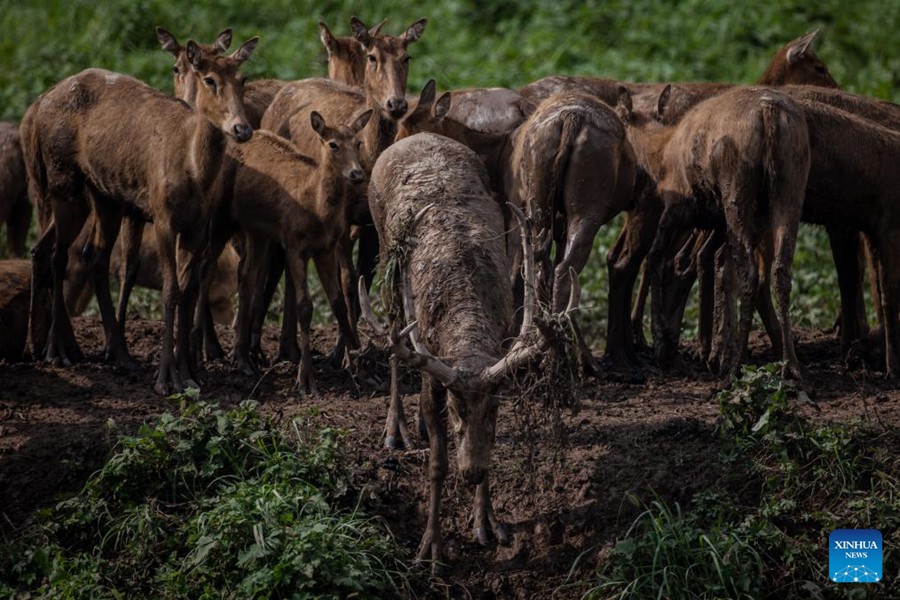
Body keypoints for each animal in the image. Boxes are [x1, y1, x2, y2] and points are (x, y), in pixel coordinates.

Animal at [24, 35, 256, 396]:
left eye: (242, 79)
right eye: (210, 80)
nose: (242, 128)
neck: (195, 171)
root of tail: (39, 104)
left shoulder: (196, 227)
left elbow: (188, 289)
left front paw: (190, 373)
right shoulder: (162, 219)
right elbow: (170, 290)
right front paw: (165, 378)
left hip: (104, 197)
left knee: (88, 255)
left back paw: (116, 354)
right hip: (64, 185)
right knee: (57, 255)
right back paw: (58, 350)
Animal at [358, 131, 576, 572]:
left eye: (493, 408)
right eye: (456, 407)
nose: (471, 471)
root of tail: (415, 135)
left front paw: (486, 523)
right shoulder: (432, 369)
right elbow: (437, 464)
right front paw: (432, 547)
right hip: (386, 258)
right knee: (392, 339)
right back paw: (396, 428)